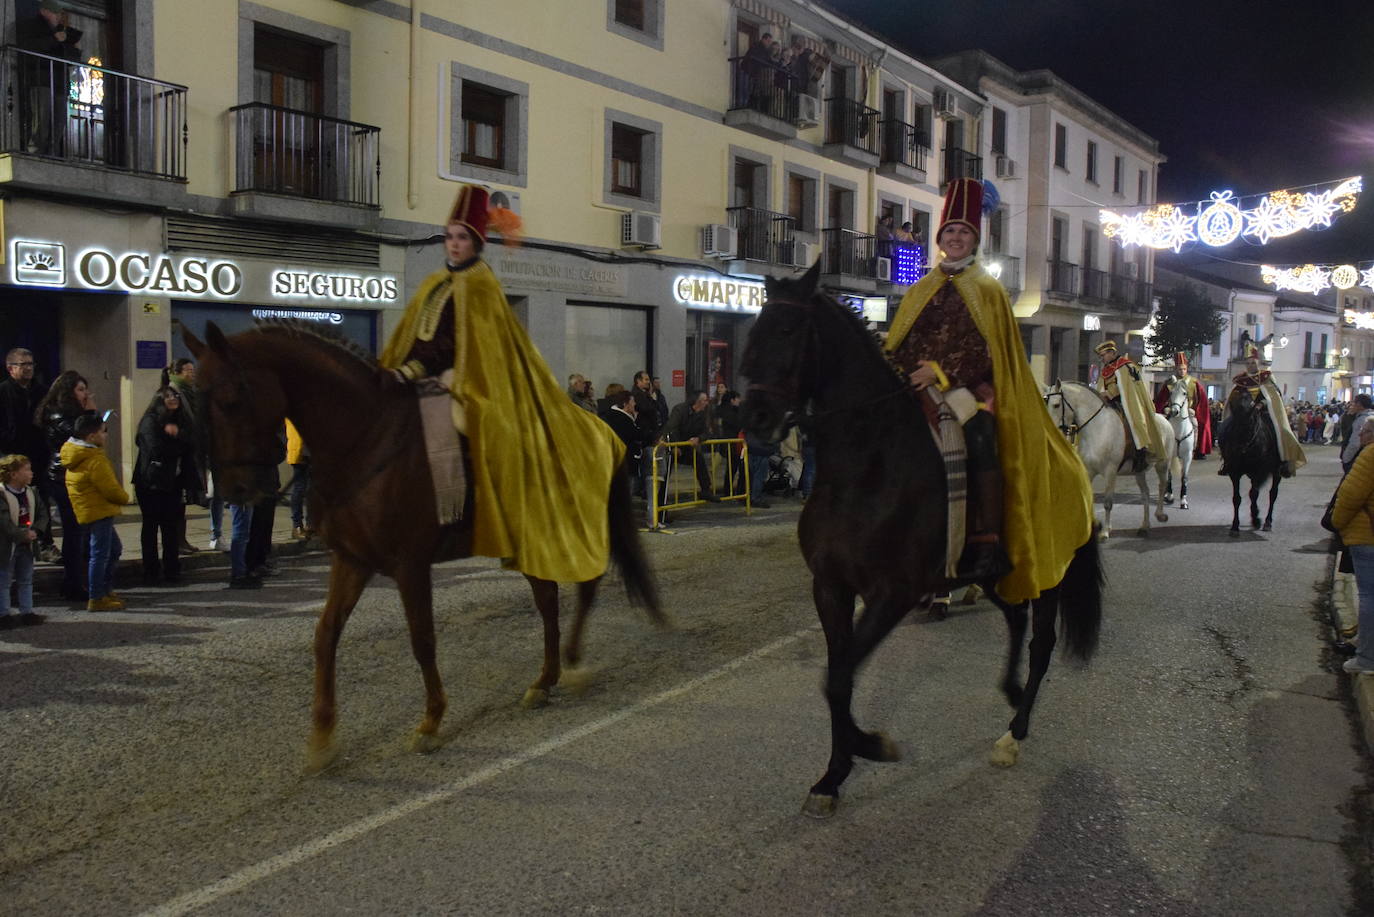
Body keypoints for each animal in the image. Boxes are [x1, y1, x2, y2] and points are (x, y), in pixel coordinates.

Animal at [185, 323, 662, 775]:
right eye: (197, 400)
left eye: (231, 398)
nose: (234, 490)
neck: (366, 438)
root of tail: (597, 427)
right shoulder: (352, 560)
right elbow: (325, 636)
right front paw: (322, 739)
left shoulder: (410, 563)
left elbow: (422, 638)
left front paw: (431, 722)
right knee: (548, 598)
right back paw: (544, 680)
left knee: (584, 585)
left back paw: (575, 665)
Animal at [736, 263, 1099, 819]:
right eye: (755, 328)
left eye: (788, 330)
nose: (753, 417)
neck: (868, 465)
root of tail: (1070, 453)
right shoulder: (831, 588)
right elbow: (837, 677)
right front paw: (833, 775)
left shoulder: (893, 594)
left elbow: (839, 677)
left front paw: (869, 747)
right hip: (998, 573)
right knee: (1015, 619)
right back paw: (1011, 692)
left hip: (1048, 568)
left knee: (1041, 643)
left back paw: (1015, 732)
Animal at [1044, 379, 1176, 538]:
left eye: (1056, 404)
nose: (1049, 431)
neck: (1098, 428)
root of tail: (1165, 420)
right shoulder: (1089, 470)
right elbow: (1087, 499)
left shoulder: (1110, 471)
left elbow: (1108, 502)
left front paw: (1105, 531)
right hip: (1139, 472)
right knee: (1145, 494)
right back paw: (1144, 526)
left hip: (1162, 464)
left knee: (1162, 486)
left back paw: (1160, 515)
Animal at [1165, 379, 1198, 508]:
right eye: (1171, 392)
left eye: (1184, 393)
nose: (1175, 411)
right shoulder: (1169, 455)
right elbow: (1169, 476)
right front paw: (1170, 496)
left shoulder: (1188, 456)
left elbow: (1184, 477)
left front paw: (1183, 501)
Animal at [1220, 390, 1280, 533]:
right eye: (1234, 421)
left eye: (1252, 421)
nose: (1239, 449)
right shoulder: (1234, 472)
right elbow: (1237, 498)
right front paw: (1235, 525)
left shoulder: (1258, 472)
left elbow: (1254, 494)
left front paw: (1256, 519)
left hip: (1276, 473)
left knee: (1272, 494)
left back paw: (1267, 522)